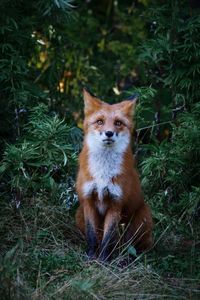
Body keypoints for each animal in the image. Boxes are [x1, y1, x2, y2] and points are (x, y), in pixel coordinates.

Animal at [75, 88, 153, 262]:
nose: (109, 133)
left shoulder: (116, 202)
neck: (103, 173)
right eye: (100, 122)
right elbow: (92, 236)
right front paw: (91, 257)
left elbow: (108, 239)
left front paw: (104, 260)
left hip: (142, 218)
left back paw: (126, 259)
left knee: (133, 246)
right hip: (79, 214)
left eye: (118, 123)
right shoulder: (88, 200)